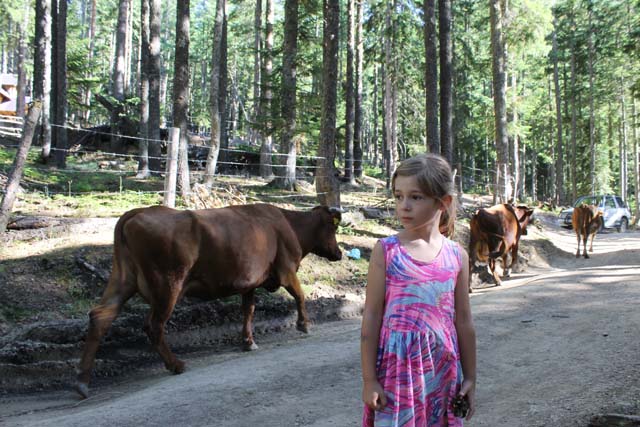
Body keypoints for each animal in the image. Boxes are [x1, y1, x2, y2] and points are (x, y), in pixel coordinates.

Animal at [75, 203, 342, 398]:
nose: (339, 253)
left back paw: (82, 382)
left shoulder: (250, 282)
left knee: (100, 316)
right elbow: (299, 294)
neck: (289, 224)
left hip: (123, 279)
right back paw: (176, 365)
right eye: (333, 229)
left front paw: (248, 341)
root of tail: (137, 212)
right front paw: (304, 325)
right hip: (168, 284)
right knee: (154, 325)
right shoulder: (286, 269)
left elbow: (248, 309)